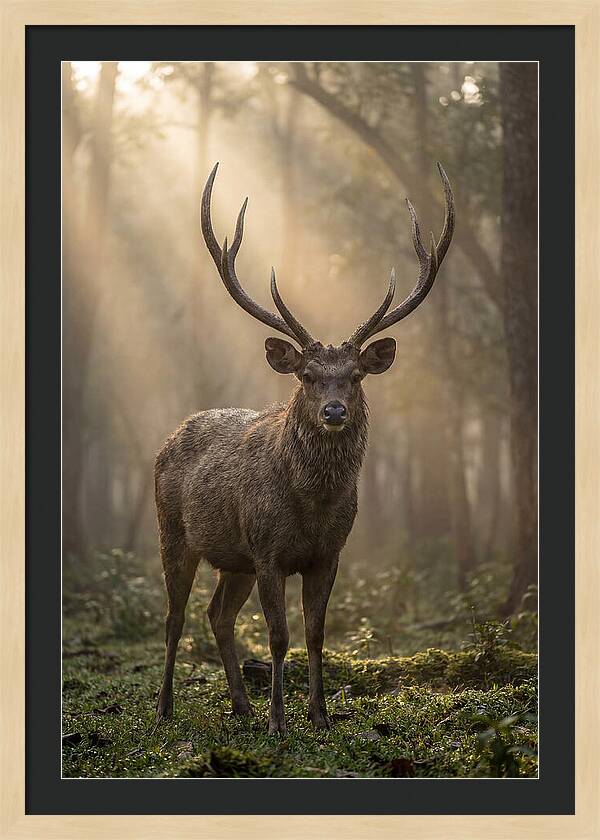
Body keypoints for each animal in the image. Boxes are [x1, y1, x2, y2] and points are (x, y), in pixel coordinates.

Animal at [155, 162, 454, 734]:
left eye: (356, 376)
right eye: (309, 376)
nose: (334, 411)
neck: (311, 507)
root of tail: (170, 436)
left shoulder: (328, 554)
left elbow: (315, 633)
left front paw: (319, 715)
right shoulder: (268, 550)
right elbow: (279, 636)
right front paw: (279, 721)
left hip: (234, 559)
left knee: (217, 614)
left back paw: (240, 704)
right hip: (174, 532)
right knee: (175, 616)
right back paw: (164, 708)